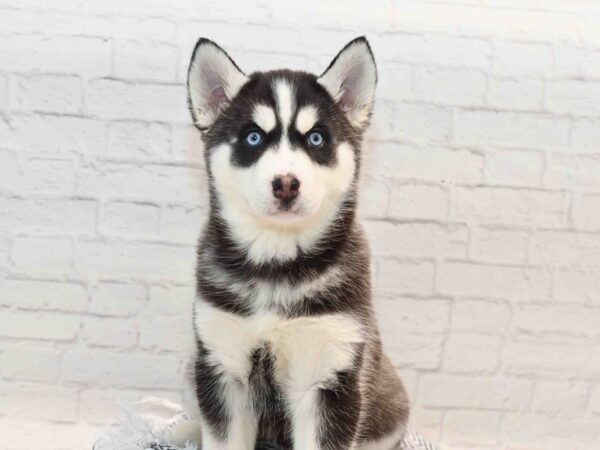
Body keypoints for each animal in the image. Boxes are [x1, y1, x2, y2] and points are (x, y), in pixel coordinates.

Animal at [188, 36, 410, 450]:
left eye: (316, 138)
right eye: (253, 137)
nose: (287, 183)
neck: (276, 262)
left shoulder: (329, 375)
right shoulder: (223, 368)